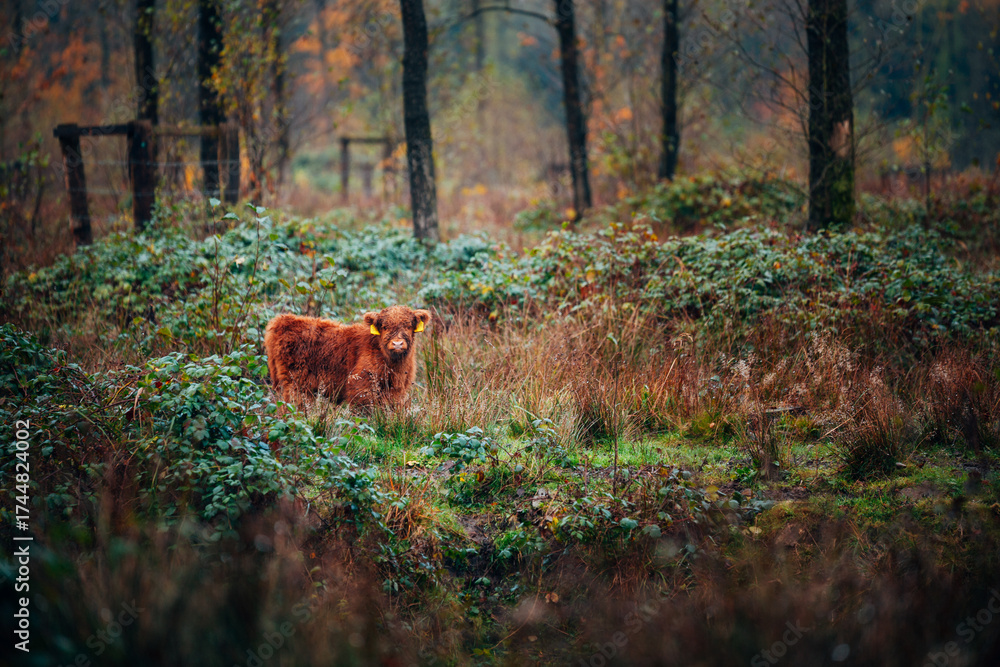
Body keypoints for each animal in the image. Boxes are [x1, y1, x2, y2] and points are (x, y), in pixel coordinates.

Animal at [263, 305, 432, 410]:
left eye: (409, 326)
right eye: (384, 326)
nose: (397, 344)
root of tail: (283, 321)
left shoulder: (396, 392)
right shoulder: (361, 387)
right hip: (295, 385)